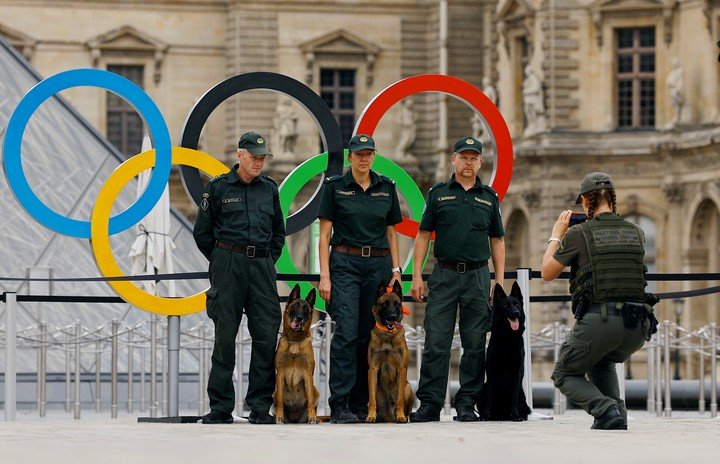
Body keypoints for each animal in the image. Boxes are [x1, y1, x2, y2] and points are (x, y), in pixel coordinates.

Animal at [274, 282, 320, 424]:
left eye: (305, 308)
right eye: (295, 306)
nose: (299, 318)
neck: (295, 340)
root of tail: (294, 420)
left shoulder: (307, 373)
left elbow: (310, 400)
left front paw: (312, 418)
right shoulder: (280, 372)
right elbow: (280, 400)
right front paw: (279, 417)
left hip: (316, 391)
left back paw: (315, 418)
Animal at [368, 280, 414, 422]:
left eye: (397, 304)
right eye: (384, 304)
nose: (393, 317)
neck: (388, 336)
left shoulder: (401, 368)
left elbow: (399, 399)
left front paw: (400, 416)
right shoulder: (373, 369)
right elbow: (372, 400)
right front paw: (370, 416)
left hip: (408, 388)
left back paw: (403, 416)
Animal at [478, 282, 536, 420]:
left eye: (517, 305)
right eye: (506, 305)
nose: (516, 313)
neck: (507, 338)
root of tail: (502, 415)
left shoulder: (516, 374)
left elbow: (513, 399)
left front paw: (515, 416)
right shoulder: (492, 373)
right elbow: (490, 398)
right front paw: (486, 415)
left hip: (522, 397)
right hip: (483, 388)